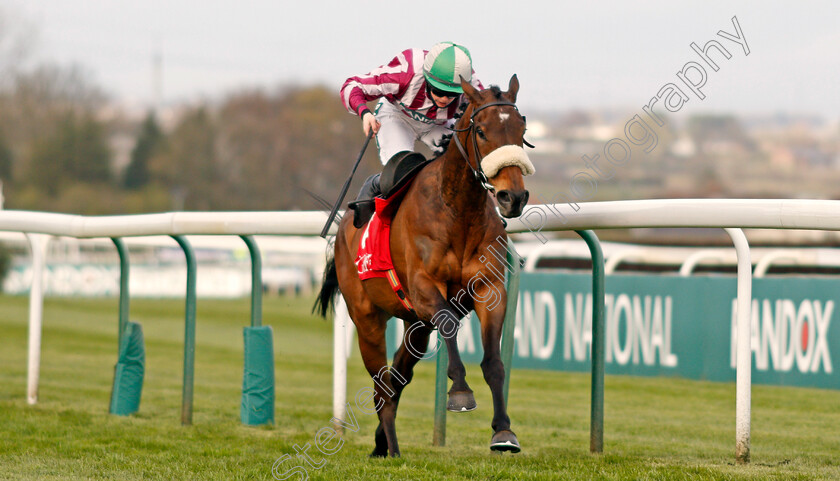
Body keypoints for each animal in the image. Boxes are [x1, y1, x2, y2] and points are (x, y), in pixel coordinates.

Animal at [316, 73, 532, 456]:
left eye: (522, 129)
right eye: (482, 131)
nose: (514, 197)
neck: (458, 211)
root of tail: (343, 227)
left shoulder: (490, 289)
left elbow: (493, 361)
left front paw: (503, 432)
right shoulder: (424, 288)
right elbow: (449, 324)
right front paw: (460, 393)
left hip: (415, 324)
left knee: (397, 377)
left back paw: (381, 442)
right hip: (367, 318)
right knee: (380, 382)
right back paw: (391, 446)